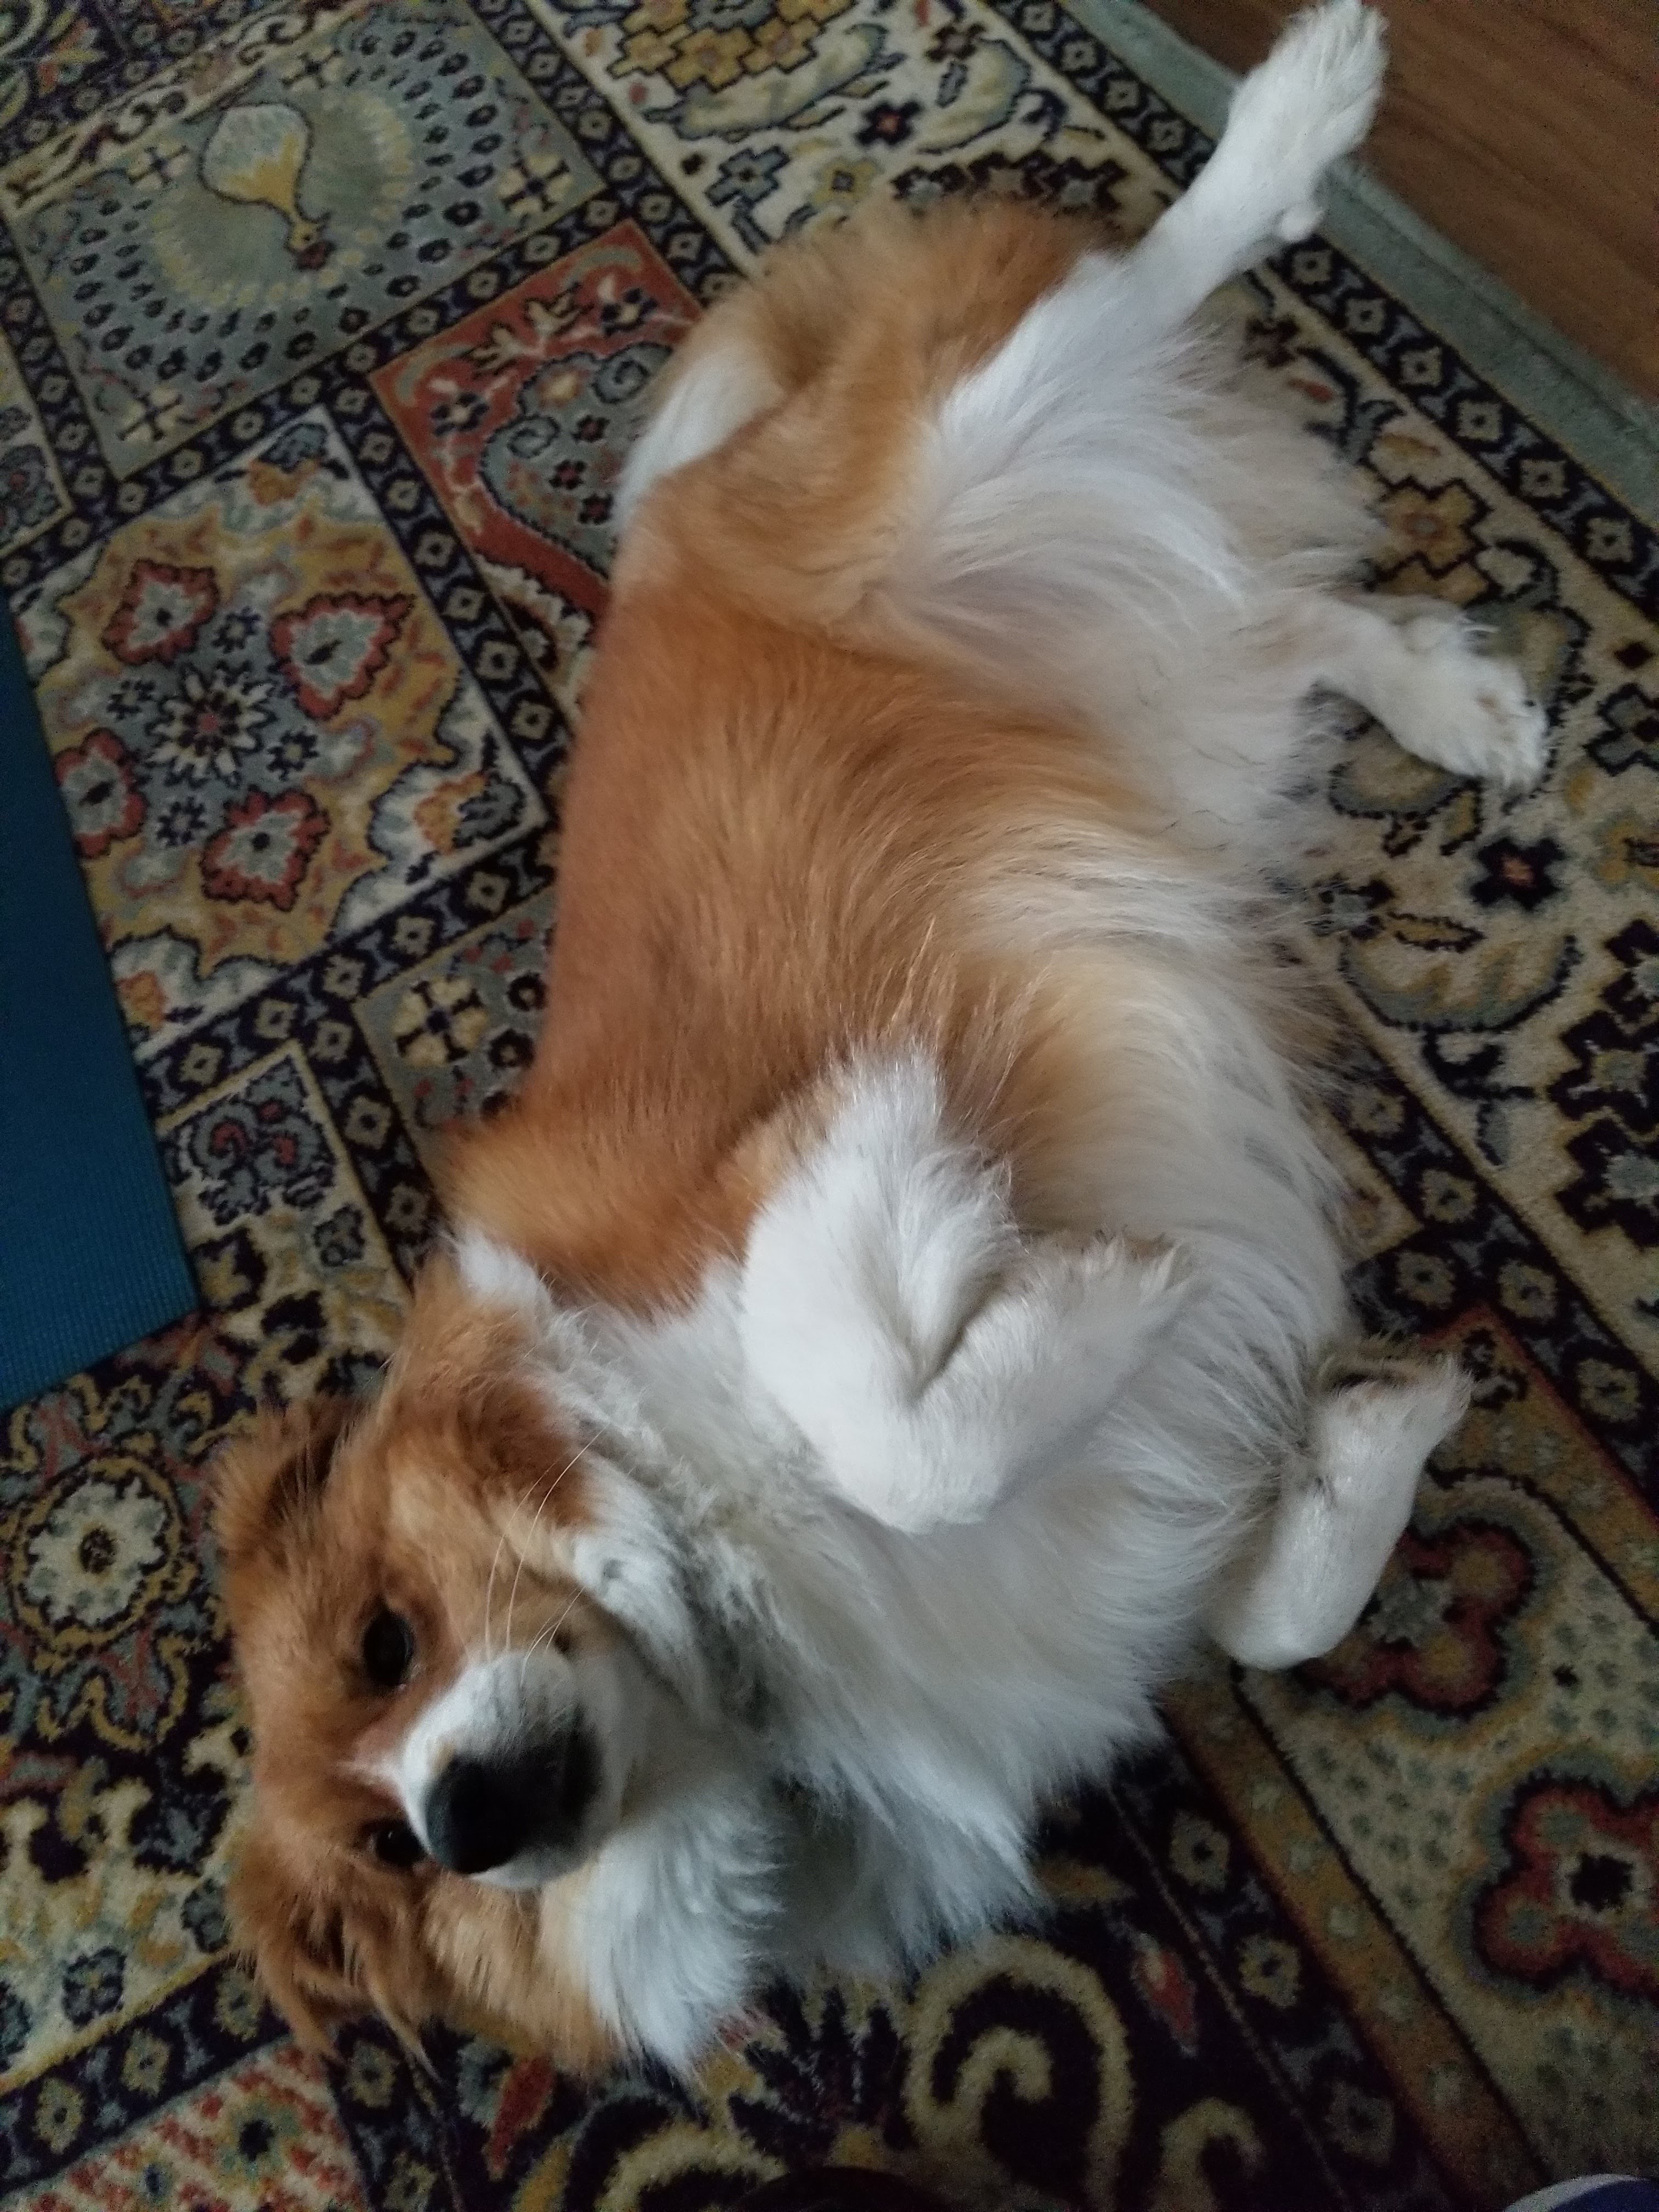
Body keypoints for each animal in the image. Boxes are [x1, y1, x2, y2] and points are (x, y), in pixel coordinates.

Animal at [215, 0, 1546, 2074]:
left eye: (386, 1641)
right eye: (393, 1858)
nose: (469, 1815)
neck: (706, 1601)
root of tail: (691, 515)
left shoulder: (746, 1191)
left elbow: (886, 1400)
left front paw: (1065, 1276)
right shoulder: (1124, 1565)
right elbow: (1265, 1616)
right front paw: (1371, 1438)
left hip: (933, 466)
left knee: (1111, 297)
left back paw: (1301, 110)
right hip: (1106, 693)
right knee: (1265, 615)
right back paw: (1460, 700)